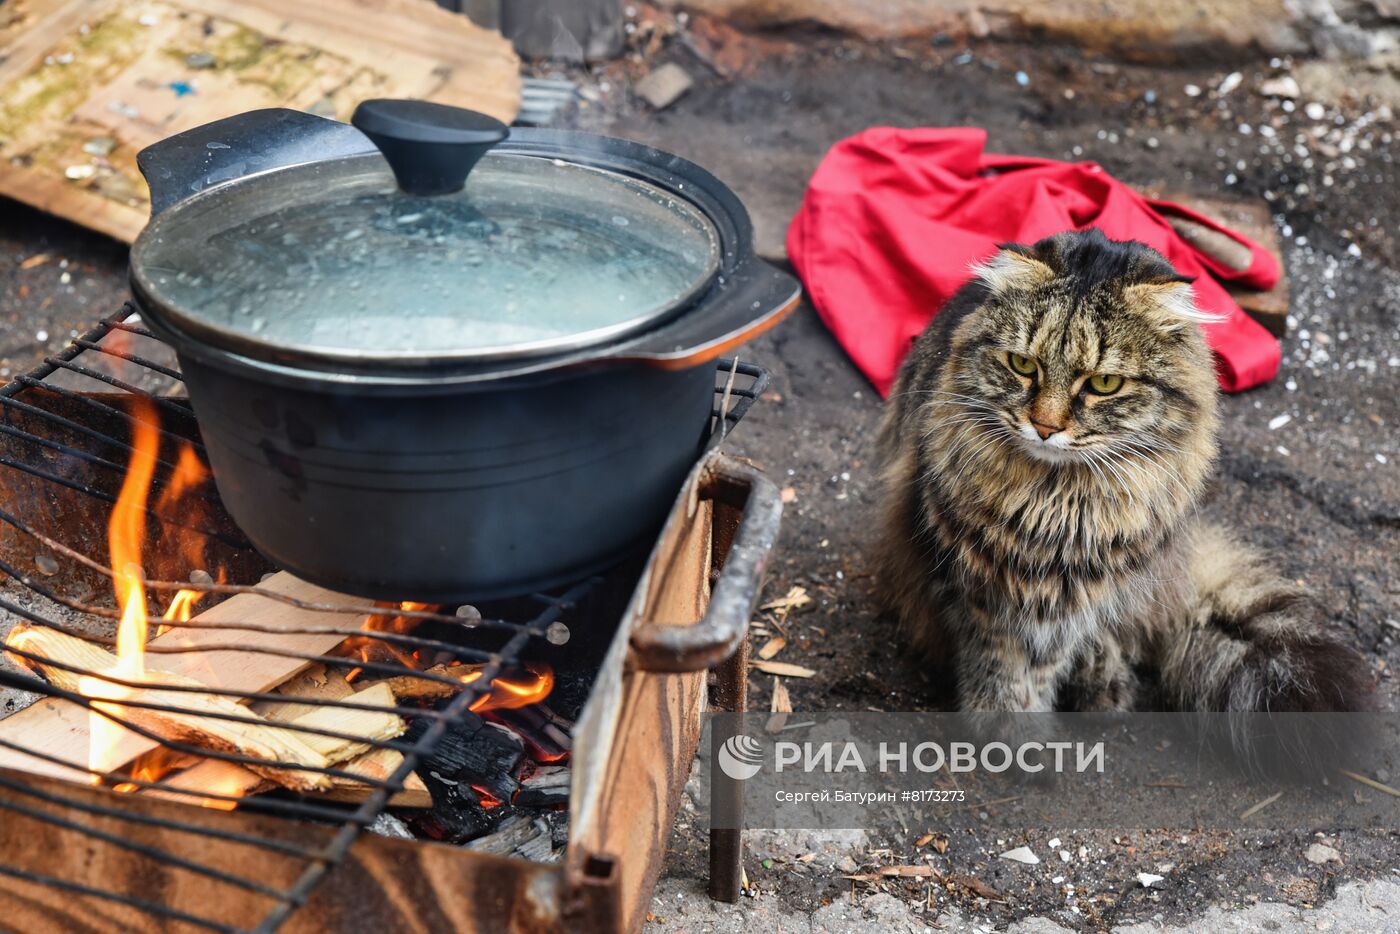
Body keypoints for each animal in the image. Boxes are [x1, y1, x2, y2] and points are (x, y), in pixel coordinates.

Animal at [879, 229, 1372, 711]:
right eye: (1022, 365)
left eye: (1104, 383)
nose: (1045, 427)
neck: (1055, 505)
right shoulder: (974, 587)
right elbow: (1001, 673)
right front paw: (1000, 722)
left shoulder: (1074, 600)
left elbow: (1044, 664)